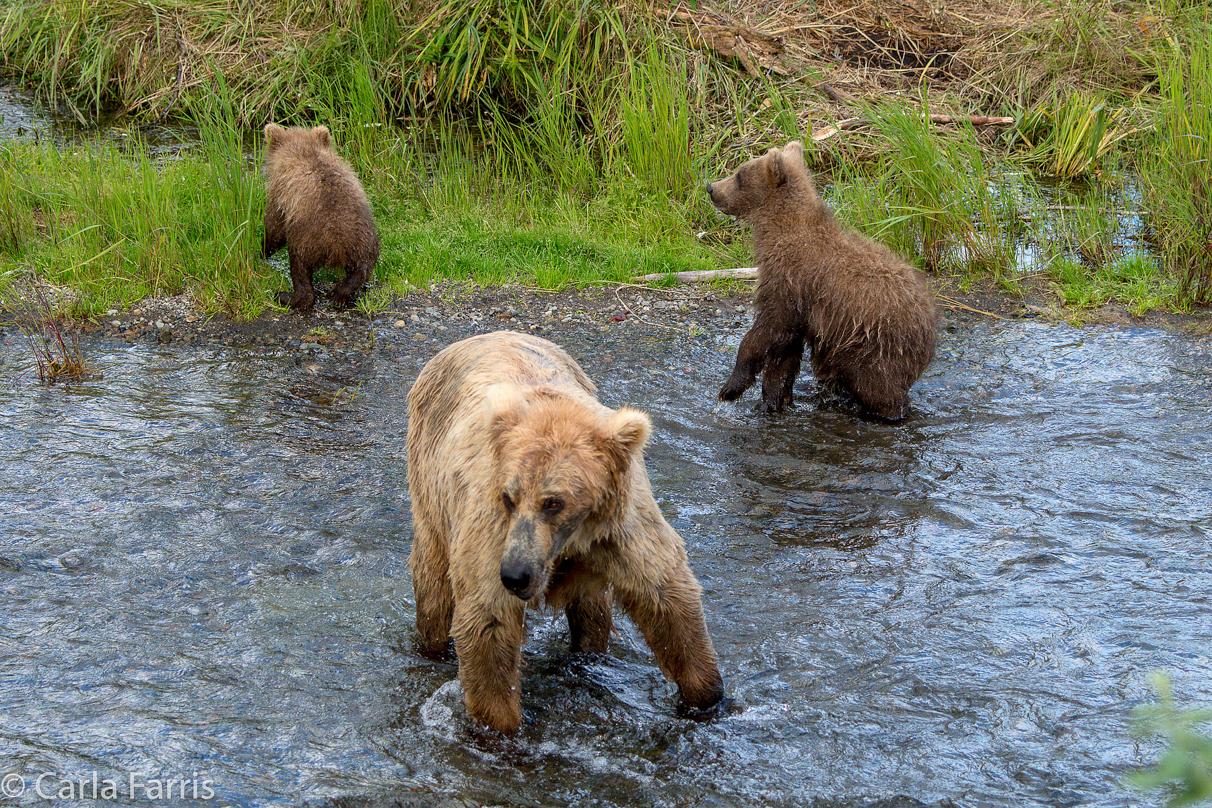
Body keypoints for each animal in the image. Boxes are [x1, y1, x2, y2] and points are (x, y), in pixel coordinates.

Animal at [260, 124, 378, 312]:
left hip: (306, 240)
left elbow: (275, 225)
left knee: (299, 269)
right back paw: (340, 294)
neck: (304, 152)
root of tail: (338, 247)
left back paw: (286, 296)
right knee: (361, 270)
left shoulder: (280, 192)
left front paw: (263, 249)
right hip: (365, 241)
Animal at [407, 331, 727, 736]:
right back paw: (432, 645)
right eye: (509, 497)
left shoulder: (619, 530)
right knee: (433, 582)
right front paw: (501, 728)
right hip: (431, 485)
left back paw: (588, 653)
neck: (570, 540)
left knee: (592, 610)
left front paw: (706, 697)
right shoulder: (493, 529)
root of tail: (477, 336)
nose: (515, 575)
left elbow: (666, 597)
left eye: (553, 502)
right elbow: (488, 622)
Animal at [707, 139, 940, 423]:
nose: (711, 187)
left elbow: (767, 330)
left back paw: (887, 412)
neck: (779, 233)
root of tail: (930, 323)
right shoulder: (800, 303)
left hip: (875, 345)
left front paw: (729, 389)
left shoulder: (790, 279)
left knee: (877, 387)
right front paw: (773, 400)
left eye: (739, 174)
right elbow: (784, 354)